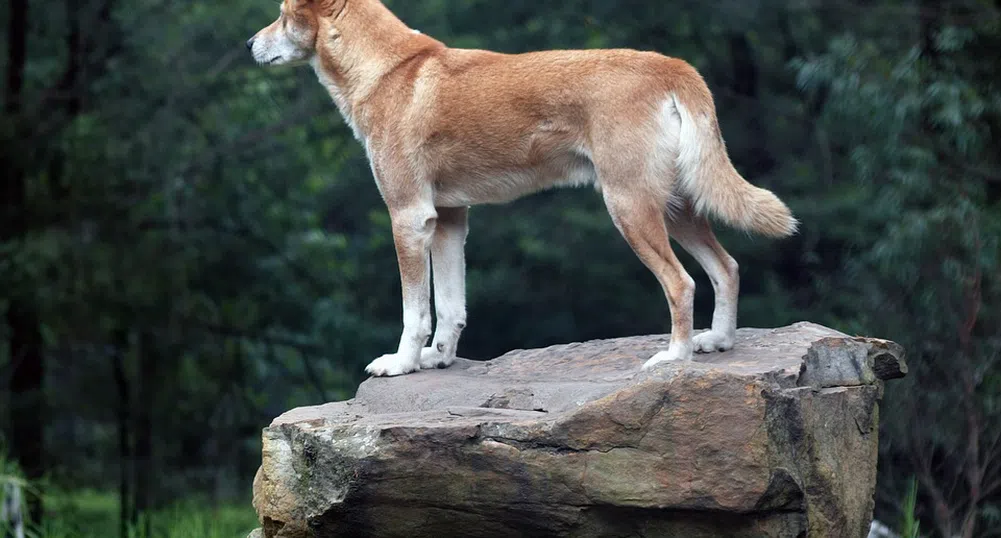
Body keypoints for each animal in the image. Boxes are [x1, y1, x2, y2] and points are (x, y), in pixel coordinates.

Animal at [248, 0, 796, 374]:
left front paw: (402, 364)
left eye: (280, 15)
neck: (386, 72)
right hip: (678, 207)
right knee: (727, 267)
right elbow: (451, 307)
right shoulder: (448, 219)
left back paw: (674, 357)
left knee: (681, 283)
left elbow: (414, 310)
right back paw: (717, 342)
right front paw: (439, 359)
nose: (250, 44)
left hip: (630, 207)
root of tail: (671, 65)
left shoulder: (408, 216)